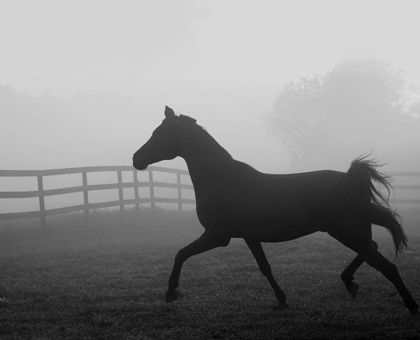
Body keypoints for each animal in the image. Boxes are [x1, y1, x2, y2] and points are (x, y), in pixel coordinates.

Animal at [133, 105, 418, 314]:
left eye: (159, 134)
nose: (136, 159)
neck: (223, 180)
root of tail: (349, 179)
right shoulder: (249, 237)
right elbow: (264, 267)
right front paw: (281, 300)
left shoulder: (217, 236)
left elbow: (181, 254)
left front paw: (171, 292)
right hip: (354, 233)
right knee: (374, 251)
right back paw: (351, 283)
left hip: (347, 232)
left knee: (387, 266)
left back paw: (411, 306)